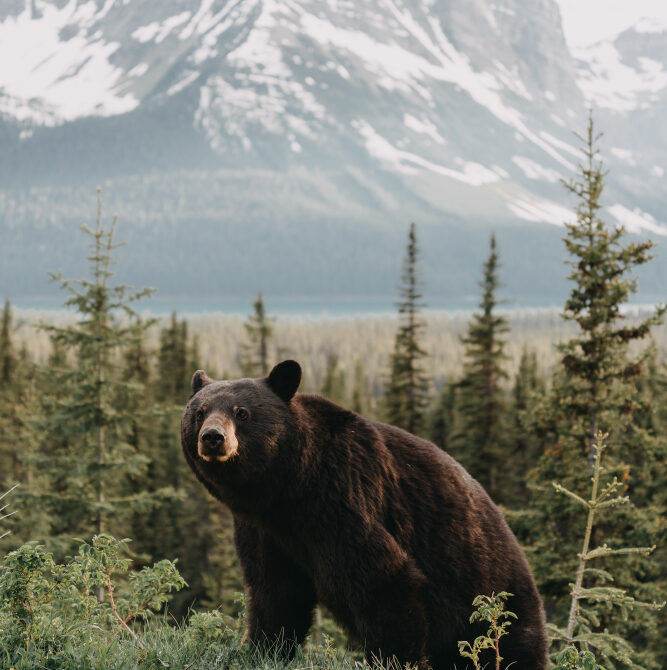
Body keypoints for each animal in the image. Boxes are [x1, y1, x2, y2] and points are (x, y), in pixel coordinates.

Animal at [181, 360, 547, 670]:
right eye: (199, 412)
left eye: (242, 412)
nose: (213, 437)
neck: (287, 489)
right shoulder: (263, 530)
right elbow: (275, 591)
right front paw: (262, 650)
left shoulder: (343, 498)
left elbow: (383, 580)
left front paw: (396, 659)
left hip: (492, 599)